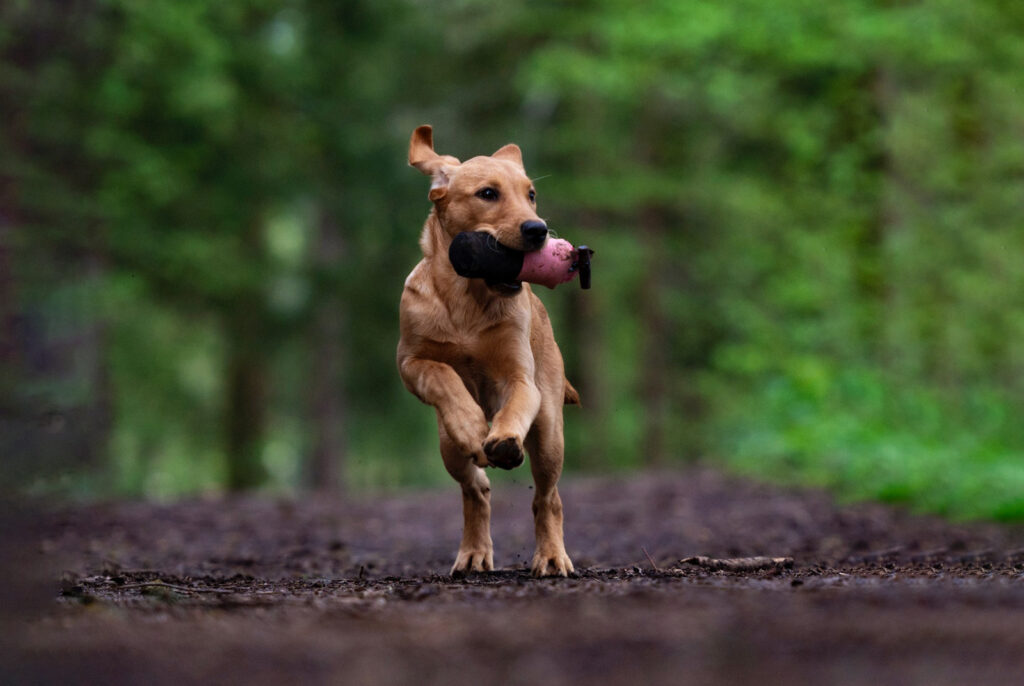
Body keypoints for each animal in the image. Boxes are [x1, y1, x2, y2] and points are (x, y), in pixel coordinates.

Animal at [395, 126, 581, 577]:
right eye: (487, 193)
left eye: (531, 194)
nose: (537, 229)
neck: (468, 296)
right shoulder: (409, 362)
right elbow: (442, 373)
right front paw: (471, 425)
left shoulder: (521, 378)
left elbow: (513, 406)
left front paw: (503, 437)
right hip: (446, 449)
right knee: (475, 487)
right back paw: (474, 553)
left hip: (550, 433)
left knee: (547, 497)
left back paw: (552, 556)